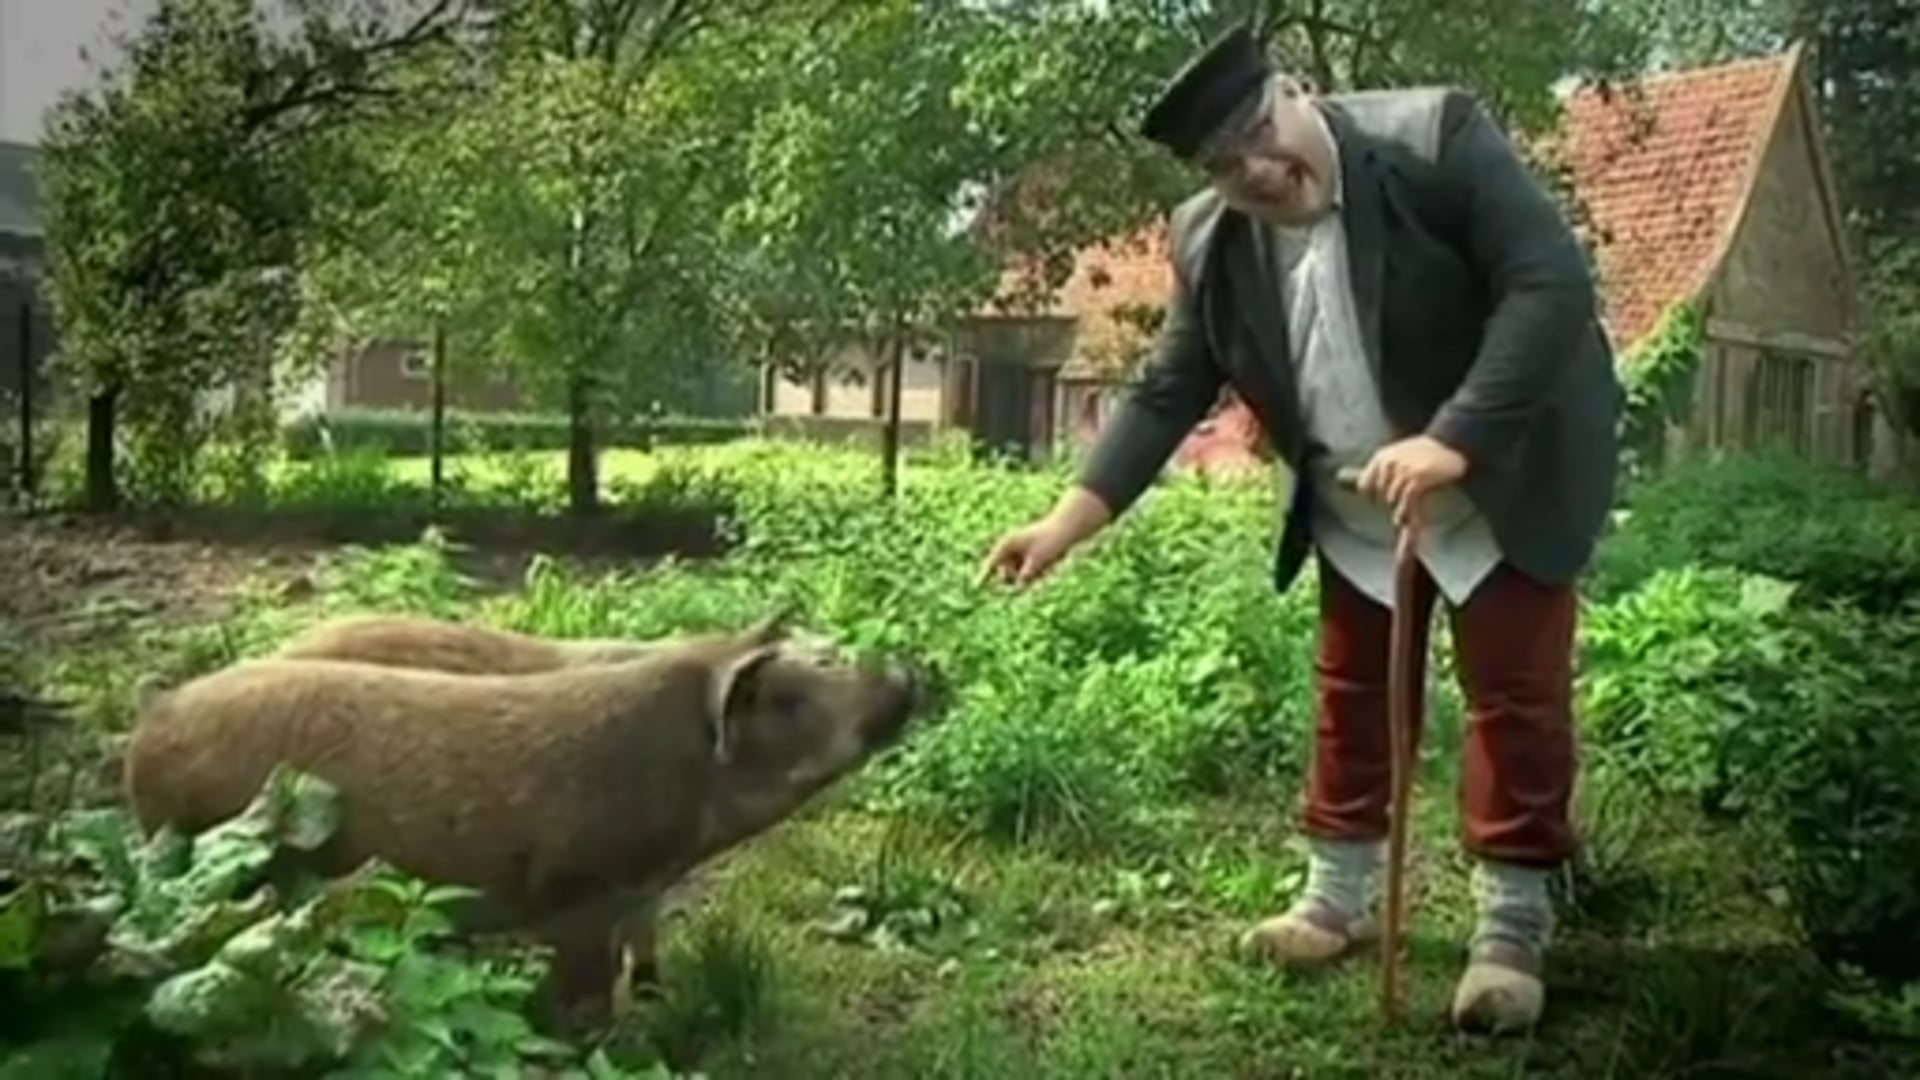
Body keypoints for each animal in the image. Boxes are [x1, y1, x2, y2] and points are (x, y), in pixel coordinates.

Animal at [121, 611, 936, 1030]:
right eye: (792, 694)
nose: (906, 673)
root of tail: (151, 719)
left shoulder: (636, 891)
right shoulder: (579, 893)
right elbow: (585, 998)